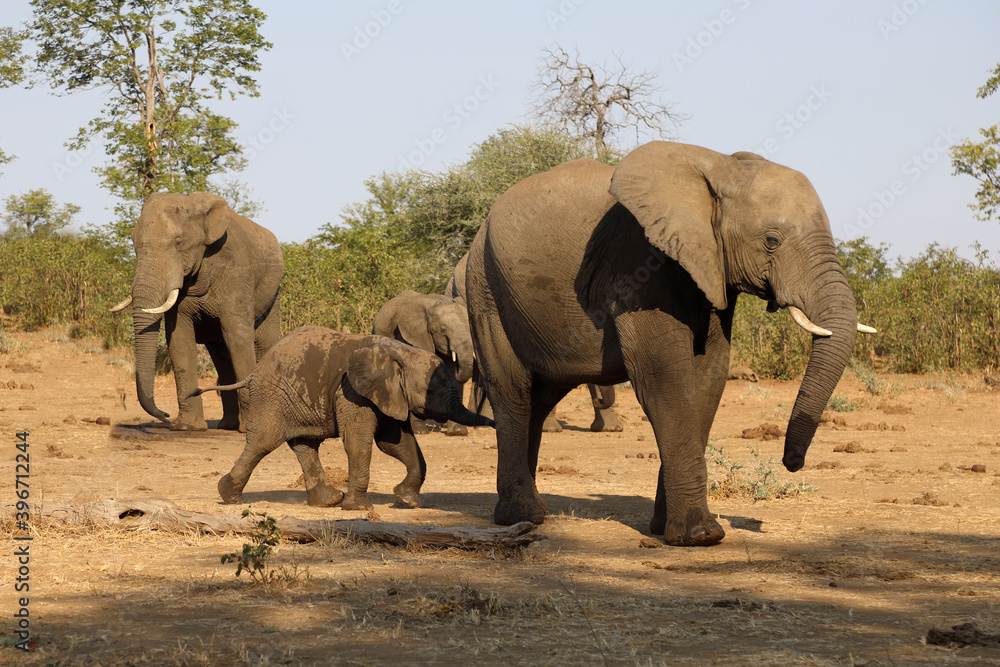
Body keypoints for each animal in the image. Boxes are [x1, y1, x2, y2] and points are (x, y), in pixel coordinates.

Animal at [109, 192, 283, 431]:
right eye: (134, 244)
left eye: (179, 243)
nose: (165, 414)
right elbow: (179, 339)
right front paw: (186, 427)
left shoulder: (238, 270)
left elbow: (237, 335)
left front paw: (248, 428)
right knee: (220, 353)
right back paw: (227, 425)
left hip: (273, 293)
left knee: (263, 343)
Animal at [190, 326, 494, 509]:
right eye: (430, 391)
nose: (494, 424)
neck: (402, 352)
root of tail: (253, 372)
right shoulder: (352, 392)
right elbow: (360, 443)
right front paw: (360, 509)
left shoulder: (387, 394)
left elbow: (396, 442)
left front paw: (405, 499)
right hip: (271, 395)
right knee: (262, 443)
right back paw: (229, 497)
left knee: (304, 445)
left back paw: (328, 501)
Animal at [465, 141, 875, 546]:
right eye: (771, 241)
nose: (792, 462)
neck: (719, 167)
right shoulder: (636, 266)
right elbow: (664, 381)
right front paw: (701, 535)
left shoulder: (711, 270)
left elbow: (708, 377)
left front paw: (666, 529)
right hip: (485, 289)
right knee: (513, 392)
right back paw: (523, 516)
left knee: (539, 399)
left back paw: (528, 512)